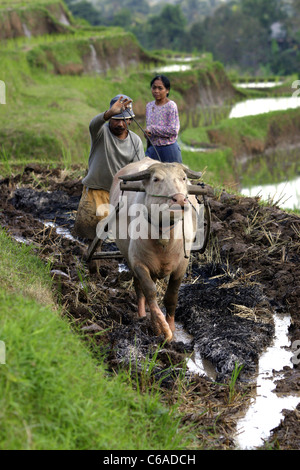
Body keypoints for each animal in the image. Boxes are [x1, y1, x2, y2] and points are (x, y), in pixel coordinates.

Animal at [109, 158, 202, 342]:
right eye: (156, 179)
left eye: (183, 178)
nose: (179, 199)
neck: (165, 239)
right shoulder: (138, 263)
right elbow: (150, 292)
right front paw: (161, 328)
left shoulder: (181, 266)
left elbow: (171, 297)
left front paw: (171, 328)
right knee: (139, 289)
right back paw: (141, 314)